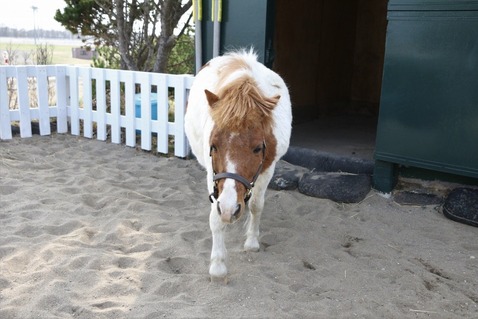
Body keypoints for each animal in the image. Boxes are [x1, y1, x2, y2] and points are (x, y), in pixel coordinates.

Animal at [186, 50, 292, 280]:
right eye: (214, 145)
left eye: (258, 148)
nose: (229, 209)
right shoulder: (213, 174)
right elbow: (215, 218)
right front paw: (218, 265)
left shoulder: (268, 169)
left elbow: (256, 205)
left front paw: (251, 242)